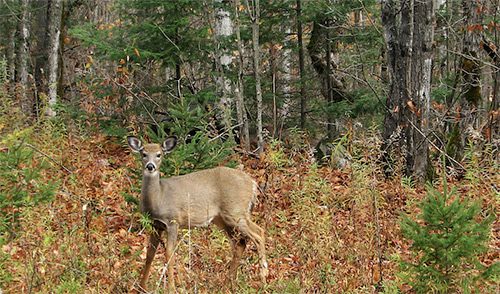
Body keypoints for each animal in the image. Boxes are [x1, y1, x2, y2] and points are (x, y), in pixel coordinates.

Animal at [128, 136, 270, 292]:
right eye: (143, 154)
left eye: (159, 154)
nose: (150, 166)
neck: (159, 198)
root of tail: (253, 183)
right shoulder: (156, 225)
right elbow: (150, 254)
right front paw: (141, 287)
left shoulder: (173, 221)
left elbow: (169, 253)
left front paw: (171, 288)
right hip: (222, 219)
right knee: (240, 244)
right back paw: (229, 284)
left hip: (236, 211)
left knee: (259, 233)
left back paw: (263, 278)